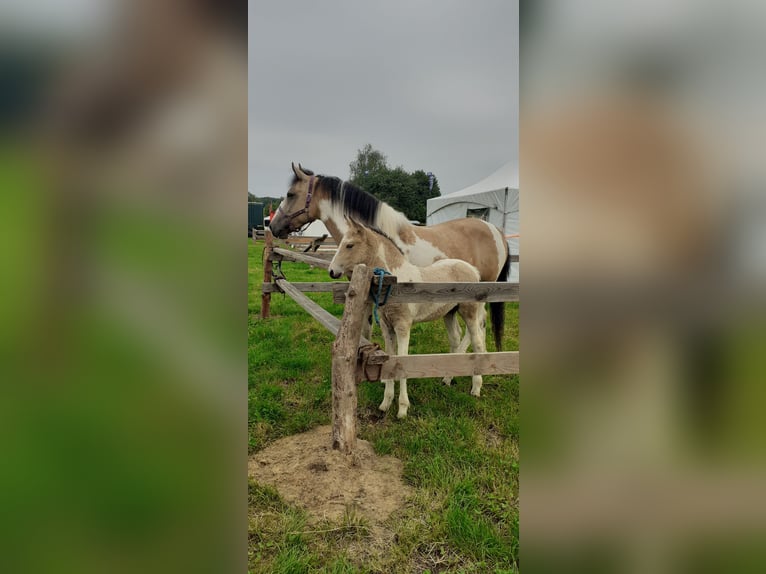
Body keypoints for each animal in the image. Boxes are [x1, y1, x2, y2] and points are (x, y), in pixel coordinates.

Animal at [269, 163, 509, 351]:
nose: (273, 226)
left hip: (481, 292)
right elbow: (366, 329)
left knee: (478, 326)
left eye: (290, 194)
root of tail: (497, 231)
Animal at [328, 218, 488, 419]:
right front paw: (385, 403)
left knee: (477, 341)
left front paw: (402, 408)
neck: (395, 281)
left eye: (349, 245)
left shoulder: (403, 326)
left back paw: (476, 388)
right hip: (449, 313)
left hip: (470, 312)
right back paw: (447, 378)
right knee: (456, 338)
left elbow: (402, 361)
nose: (331, 271)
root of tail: (473, 269)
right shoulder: (387, 327)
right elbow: (390, 360)